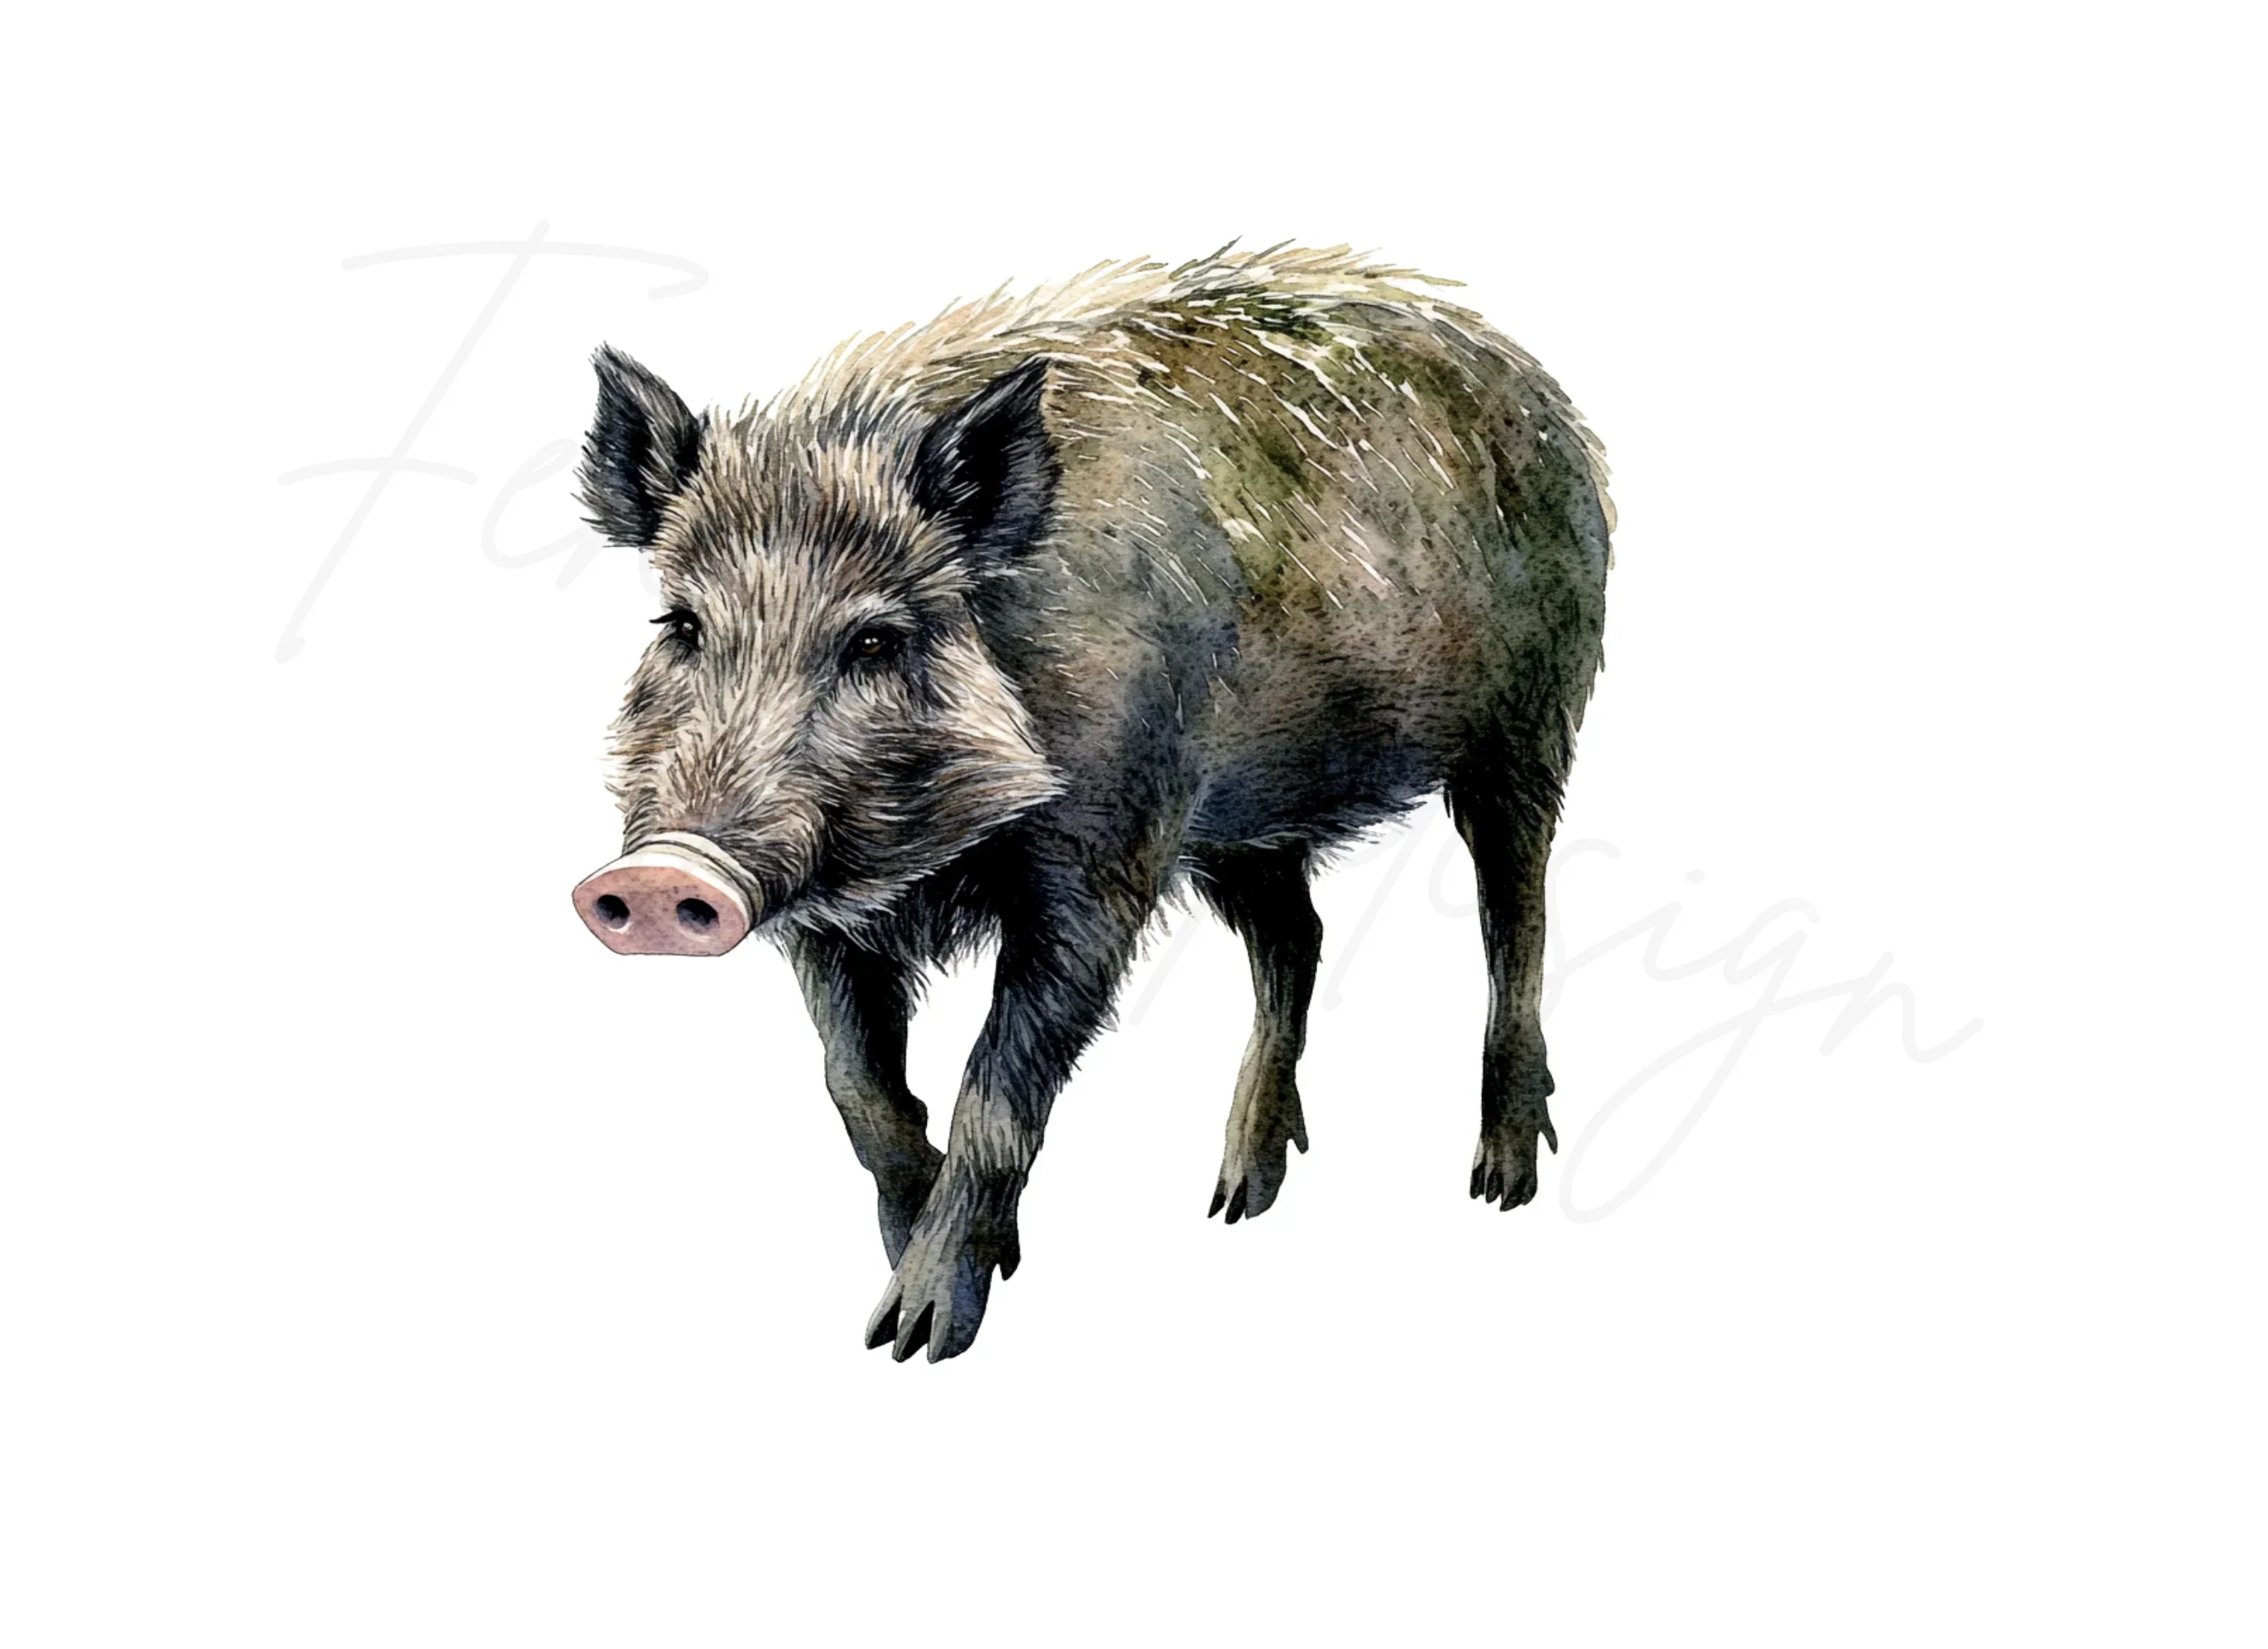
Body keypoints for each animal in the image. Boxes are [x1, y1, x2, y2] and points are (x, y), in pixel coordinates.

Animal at [570, 245, 1613, 1361]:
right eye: (681, 625)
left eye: (877, 638)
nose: (665, 873)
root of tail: (1538, 386)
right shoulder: (827, 920)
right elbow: (856, 1086)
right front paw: (922, 1271)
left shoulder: (1102, 865)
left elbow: (994, 1091)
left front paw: (917, 1333)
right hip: (1243, 822)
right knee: (1298, 935)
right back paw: (1234, 1197)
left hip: (1529, 721)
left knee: (1516, 912)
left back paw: (1499, 1181)